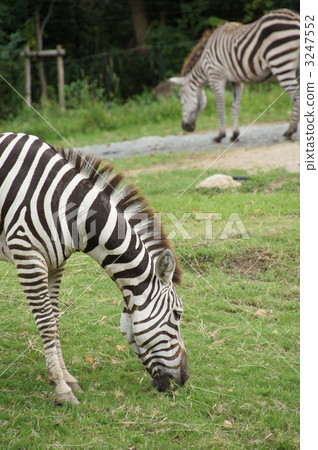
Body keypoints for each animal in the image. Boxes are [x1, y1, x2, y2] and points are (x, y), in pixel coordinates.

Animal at [0, 133, 189, 404]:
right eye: (177, 314)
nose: (184, 379)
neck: (69, 209)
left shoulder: (56, 263)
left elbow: (55, 319)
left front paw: (67, 378)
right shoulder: (28, 254)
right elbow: (46, 322)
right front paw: (60, 388)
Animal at [169, 9, 300, 142]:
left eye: (180, 97)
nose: (185, 127)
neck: (203, 62)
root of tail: (295, 17)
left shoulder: (215, 77)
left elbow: (220, 108)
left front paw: (220, 135)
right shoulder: (236, 81)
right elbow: (235, 107)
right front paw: (235, 135)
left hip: (281, 63)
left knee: (296, 96)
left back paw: (290, 130)